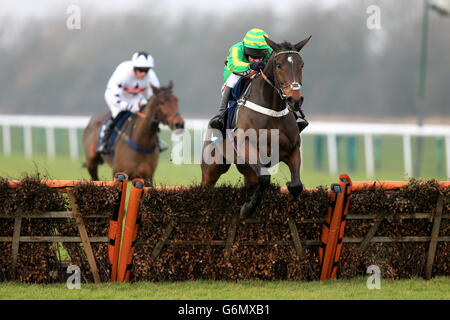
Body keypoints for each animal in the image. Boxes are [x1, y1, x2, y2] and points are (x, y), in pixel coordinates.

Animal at [202, 36, 312, 219]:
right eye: (279, 65)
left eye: (301, 64)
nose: (295, 100)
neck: (272, 110)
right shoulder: (247, 147)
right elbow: (265, 179)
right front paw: (248, 208)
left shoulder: (293, 149)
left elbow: (297, 184)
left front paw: (291, 193)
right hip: (212, 165)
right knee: (206, 184)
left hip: (246, 169)